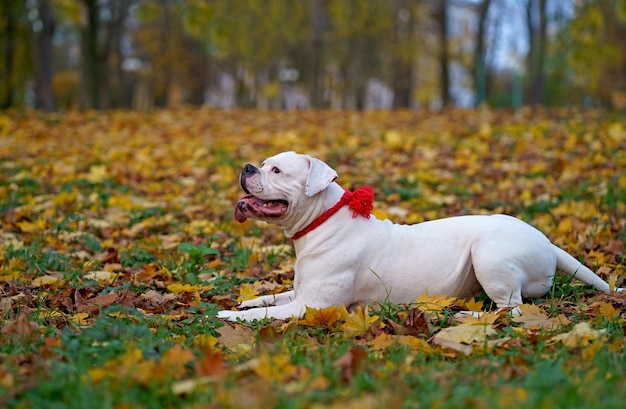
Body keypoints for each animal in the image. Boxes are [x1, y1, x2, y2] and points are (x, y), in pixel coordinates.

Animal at [216, 151, 608, 320]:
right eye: (261, 164)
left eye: (276, 171)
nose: (247, 167)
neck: (324, 220)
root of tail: (547, 242)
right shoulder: (300, 293)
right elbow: (274, 297)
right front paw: (250, 301)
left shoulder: (311, 306)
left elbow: (267, 315)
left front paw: (229, 317)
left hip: (489, 255)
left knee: (510, 310)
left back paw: (469, 316)